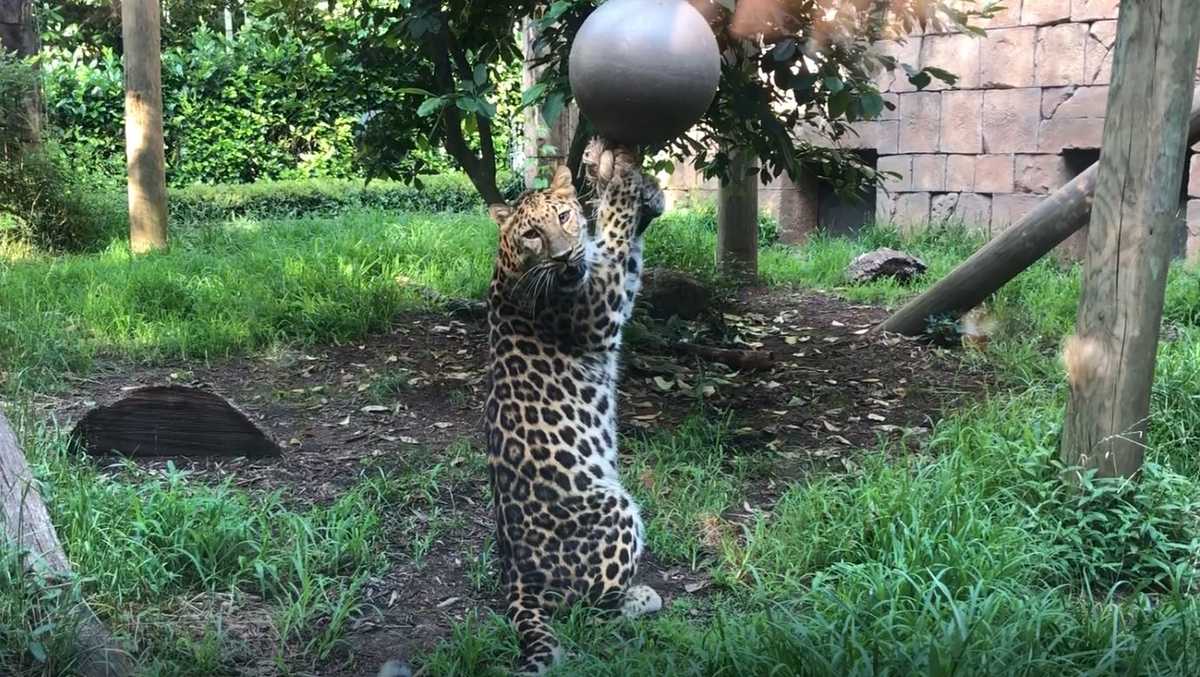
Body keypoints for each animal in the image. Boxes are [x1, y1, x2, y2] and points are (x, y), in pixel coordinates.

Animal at [477, 140, 667, 672]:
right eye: (533, 235)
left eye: (563, 215)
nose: (564, 257)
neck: (509, 265)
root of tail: (517, 582)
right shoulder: (600, 309)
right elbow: (615, 239)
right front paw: (621, 193)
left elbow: (627, 253)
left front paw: (637, 190)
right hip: (615, 507)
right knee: (589, 608)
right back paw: (641, 597)